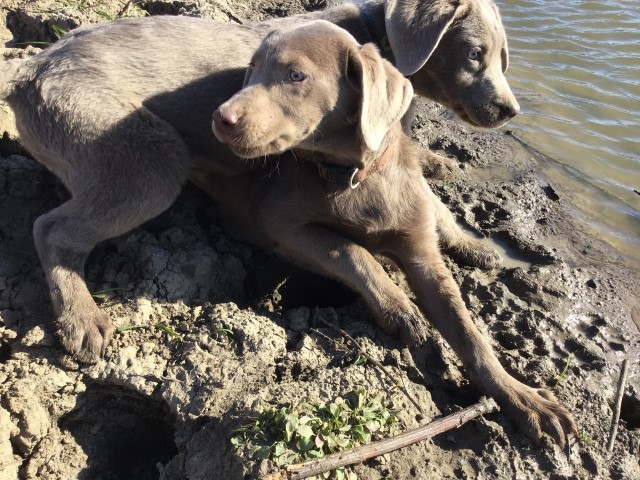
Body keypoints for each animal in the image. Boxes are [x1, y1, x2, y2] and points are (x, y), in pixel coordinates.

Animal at [0, 0, 516, 364]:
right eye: (475, 54)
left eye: (501, 58)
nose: (511, 110)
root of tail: (29, 67)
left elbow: (429, 199)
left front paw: (465, 234)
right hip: (149, 158)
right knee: (52, 229)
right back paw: (83, 318)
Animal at [208, 18, 576, 446]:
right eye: (251, 70)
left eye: (295, 75)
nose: (220, 118)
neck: (355, 178)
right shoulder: (279, 220)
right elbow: (351, 250)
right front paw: (398, 306)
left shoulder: (423, 255)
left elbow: (470, 334)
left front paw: (522, 397)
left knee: (439, 209)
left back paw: (473, 246)